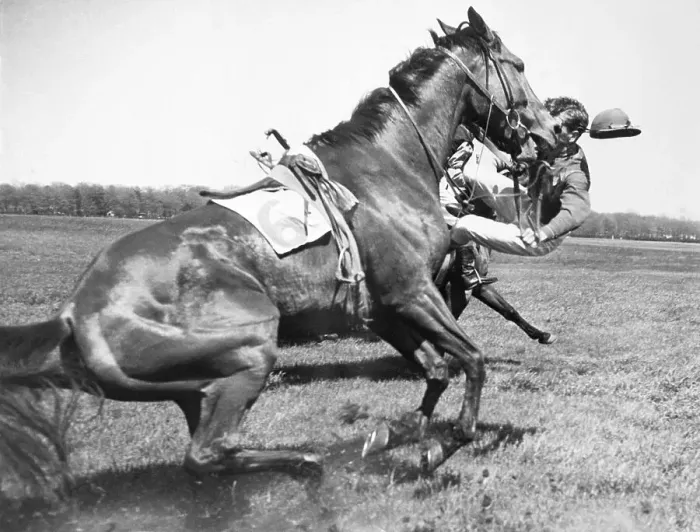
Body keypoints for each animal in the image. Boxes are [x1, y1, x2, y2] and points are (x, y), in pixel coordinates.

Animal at [0, 7, 559, 497]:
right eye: (518, 65)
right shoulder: (414, 293)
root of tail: (77, 311)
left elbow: (436, 368)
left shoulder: (382, 310)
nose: (551, 135)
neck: (390, 166)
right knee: (207, 453)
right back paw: (306, 464)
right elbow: (472, 361)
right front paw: (441, 445)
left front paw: (394, 434)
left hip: (196, 387)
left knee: (208, 453)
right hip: (250, 349)